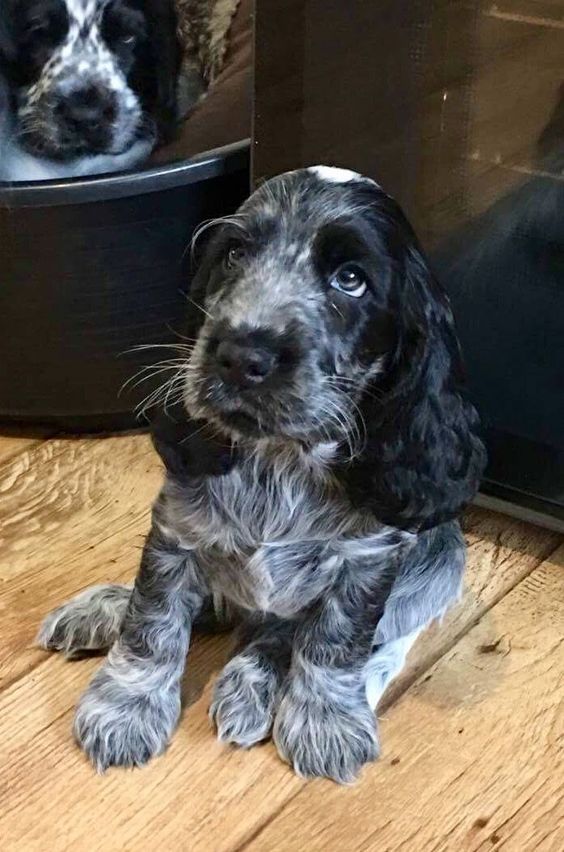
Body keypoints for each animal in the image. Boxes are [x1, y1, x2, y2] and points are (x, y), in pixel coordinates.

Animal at [37, 168, 484, 784]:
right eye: (233, 255)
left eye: (351, 279)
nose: (240, 354)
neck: (279, 461)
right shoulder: (178, 532)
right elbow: (151, 621)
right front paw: (125, 706)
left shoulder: (368, 562)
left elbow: (334, 643)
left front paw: (326, 722)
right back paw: (104, 609)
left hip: (440, 563)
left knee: (317, 635)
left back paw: (254, 684)